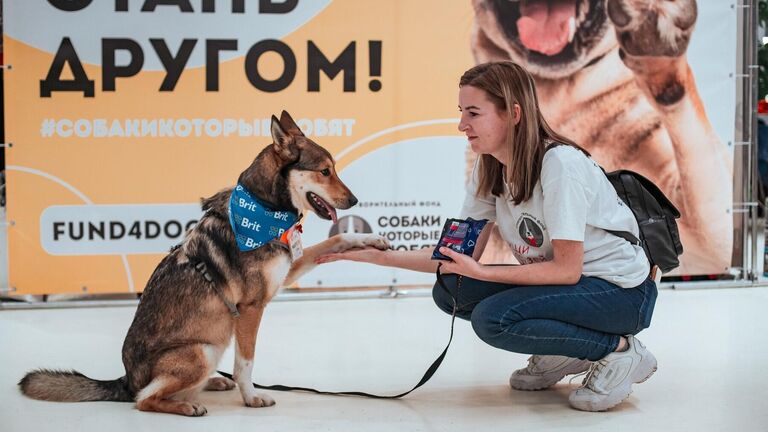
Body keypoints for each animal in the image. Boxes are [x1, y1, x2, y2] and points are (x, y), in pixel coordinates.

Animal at [16, 110, 390, 416]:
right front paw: (252, 398)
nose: (354, 200)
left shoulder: (284, 273)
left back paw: (212, 383)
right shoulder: (252, 308)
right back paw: (187, 405)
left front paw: (373, 240)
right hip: (203, 350)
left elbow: (335, 240)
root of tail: (126, 379)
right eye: (325, 171)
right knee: (145, 399)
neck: (264, 210)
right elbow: (246, 363)